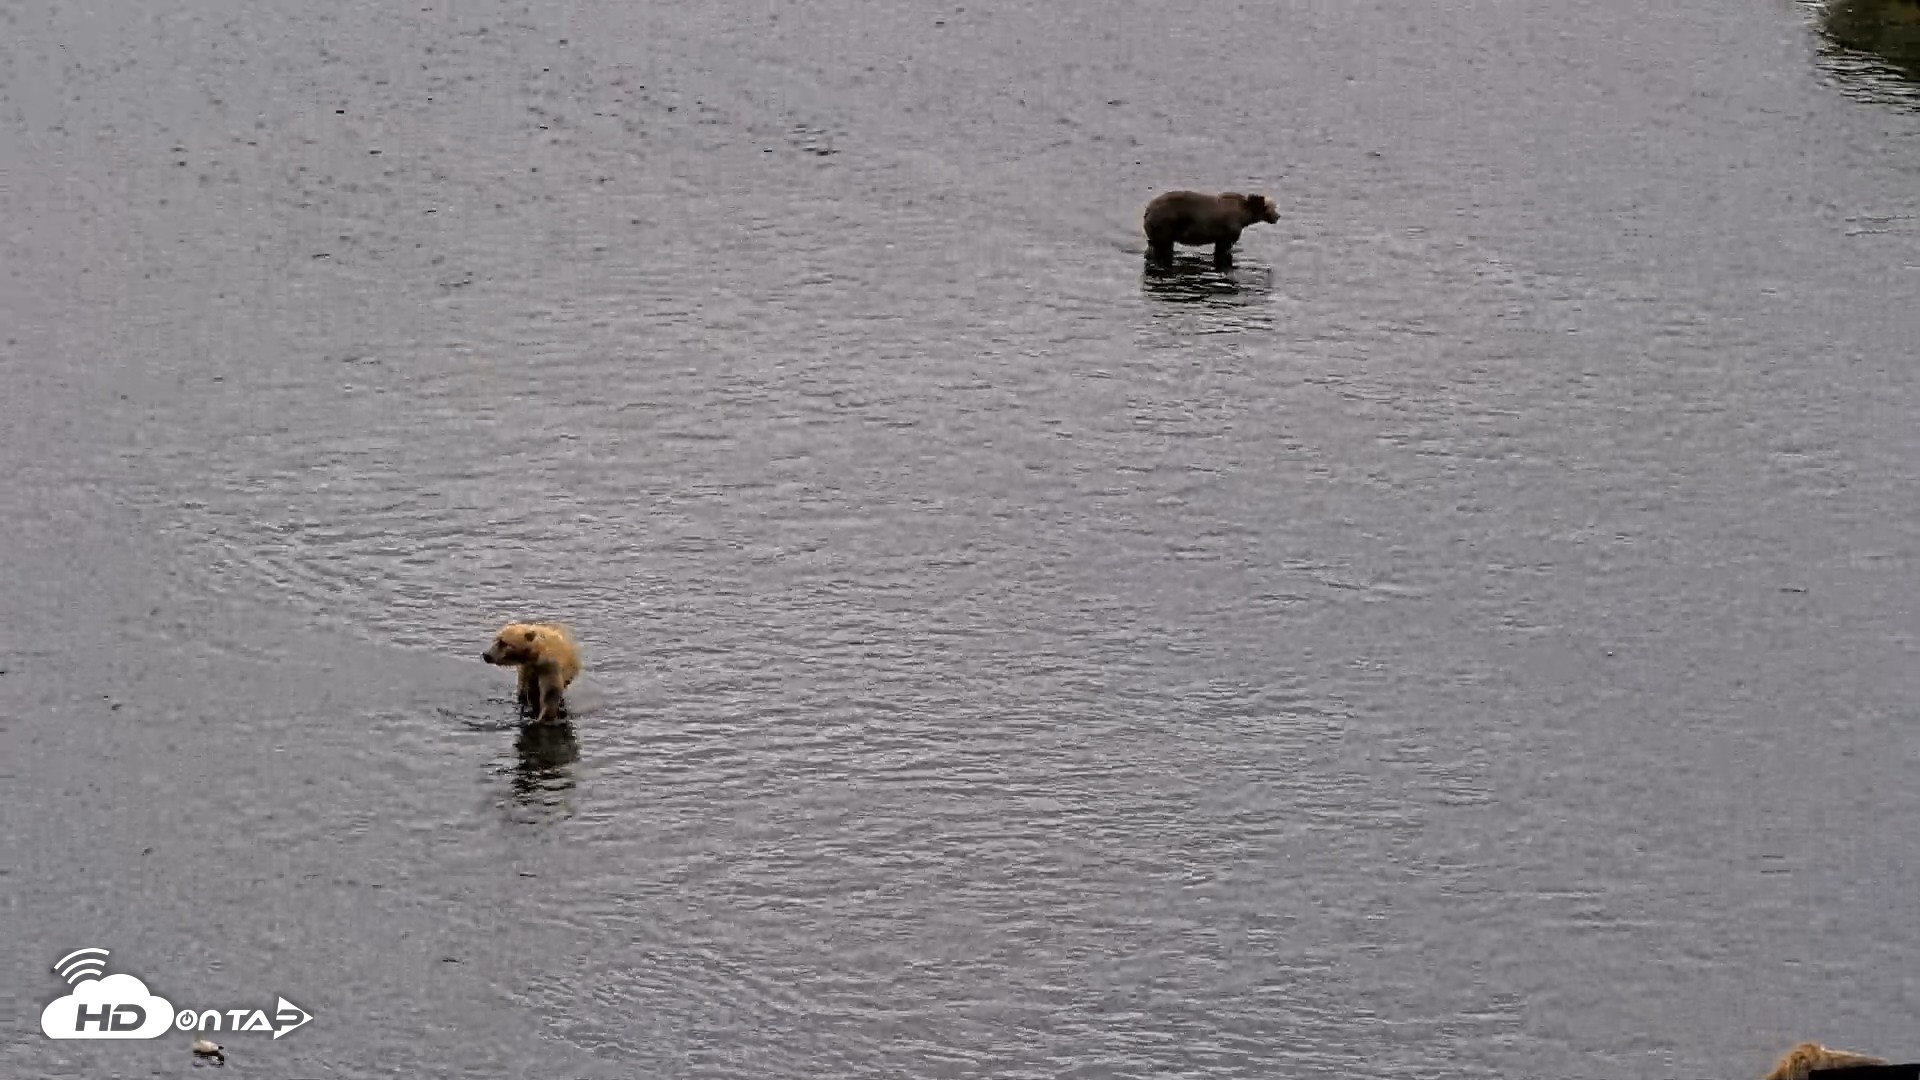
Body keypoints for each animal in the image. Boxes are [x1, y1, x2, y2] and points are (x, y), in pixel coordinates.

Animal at [1142, 189, 1280, 268]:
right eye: (1272, 207)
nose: (1278, 216)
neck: (1243, 216)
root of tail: (1148, 208)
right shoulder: (1229, 229)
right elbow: (1224, 250)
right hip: (1165, 223)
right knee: (1161, 245)